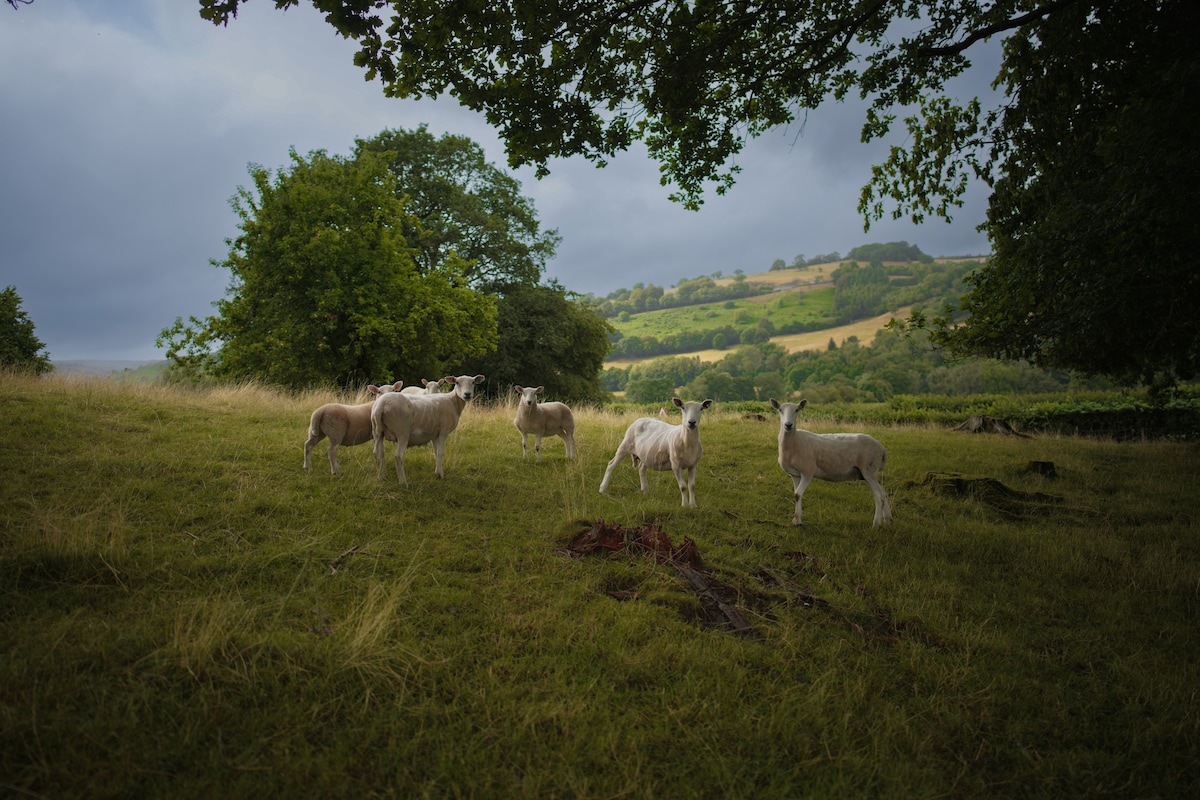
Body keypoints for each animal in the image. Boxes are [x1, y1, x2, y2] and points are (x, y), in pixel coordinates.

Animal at [768, 398, 892, 527]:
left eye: (797, 410)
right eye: (780, 410)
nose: (788, 425)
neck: (794, 442)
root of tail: (882, 449)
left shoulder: (808, 471)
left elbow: (798, 494)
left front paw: (797, 521)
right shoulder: (795, 474)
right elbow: (796, 494)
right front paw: (797, 520)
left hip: (869, 470)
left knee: (879, 496)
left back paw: (876, 524)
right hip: (870, 473)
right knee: (883, 493)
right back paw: (888, 520)